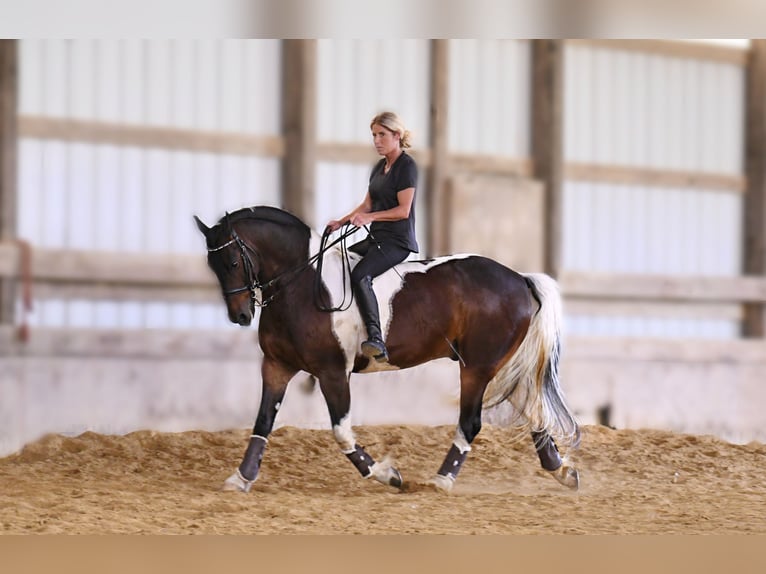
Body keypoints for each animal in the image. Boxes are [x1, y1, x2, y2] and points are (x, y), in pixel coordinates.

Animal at [195, 207, 580, 496]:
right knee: (534, 410)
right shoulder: (277, 365)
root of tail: (519, 279)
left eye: (232, 262)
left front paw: (386, 474)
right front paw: (241, 478)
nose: (240, 316)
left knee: (472, 422)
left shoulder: (332, 372)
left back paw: (442, 480)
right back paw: (561, 471)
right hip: (502, 367)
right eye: (214, 266)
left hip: (478, 368)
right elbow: (263, 421)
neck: (301, 284)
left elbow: (341, 432)